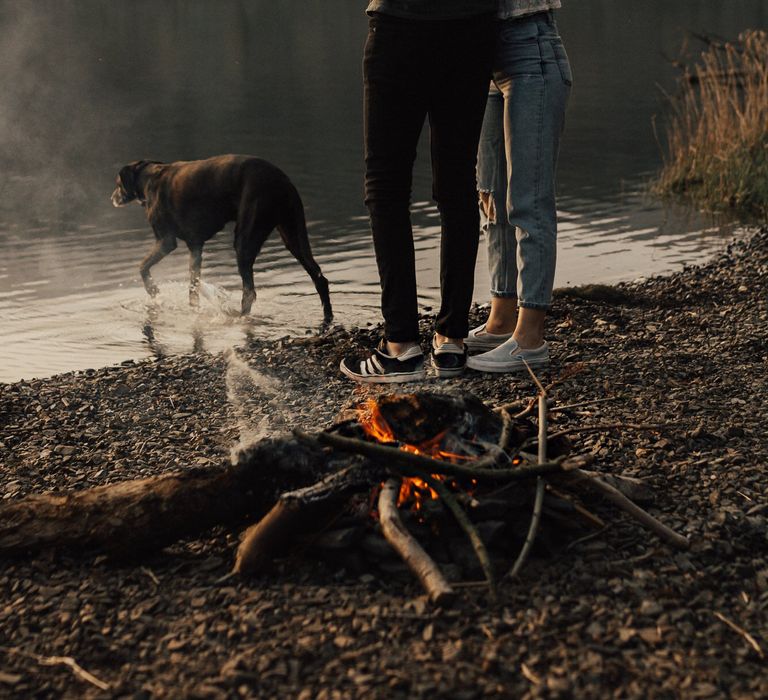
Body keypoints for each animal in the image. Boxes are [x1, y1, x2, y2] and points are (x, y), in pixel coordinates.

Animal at [110, 154, 330, 322]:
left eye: (118, 184)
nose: (112, 198)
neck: (149, 176)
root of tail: (282, 181)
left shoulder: (165, 241)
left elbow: (142, 267)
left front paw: (153, 290)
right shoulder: (195, 246)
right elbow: (193, 285)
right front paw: (193, 309)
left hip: (245, 241)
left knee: (249, 292)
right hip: (294, 238)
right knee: (320, 278)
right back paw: (328, 317)